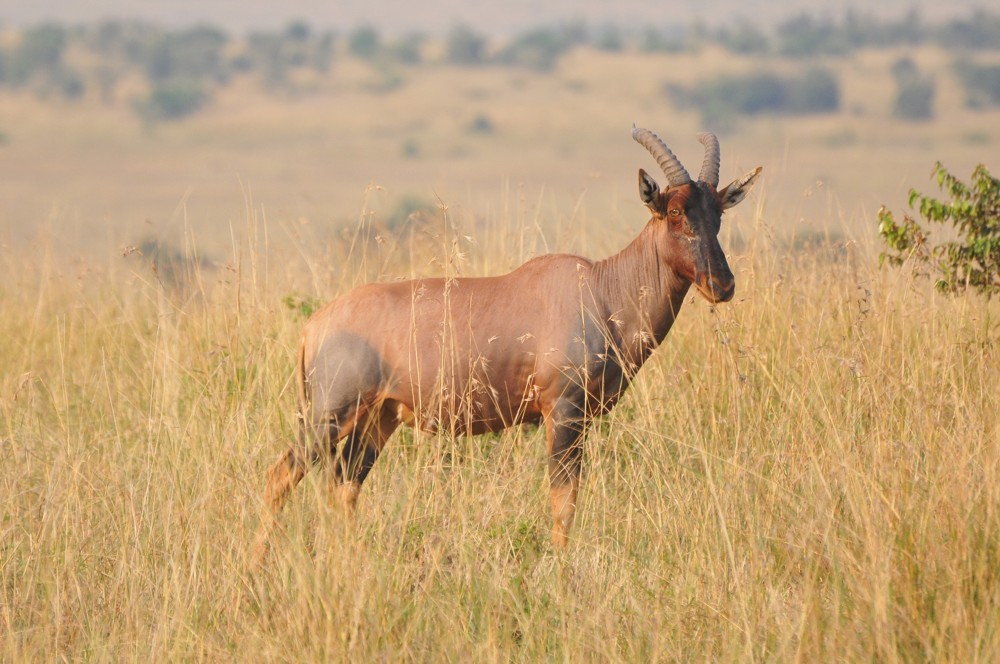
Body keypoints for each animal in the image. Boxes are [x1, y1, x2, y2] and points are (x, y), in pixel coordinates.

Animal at [250, 124, 756, 560]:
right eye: (673, 211)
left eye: (718, 212)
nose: (722, 284)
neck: (599, 287)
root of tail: (313, 326)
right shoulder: (563, 411)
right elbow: (563, 499)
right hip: (328, 416)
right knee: (280, 476)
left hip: (377, 420)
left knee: (344, 486)